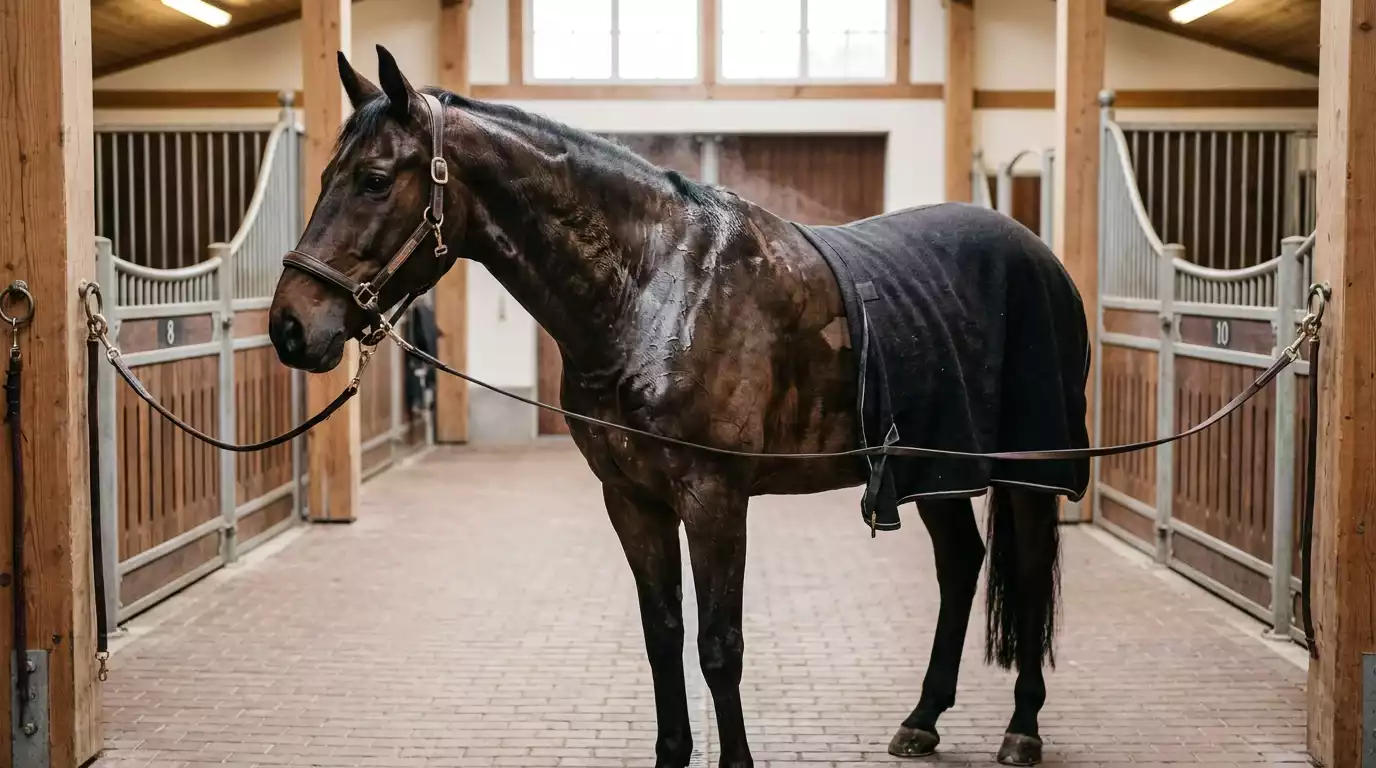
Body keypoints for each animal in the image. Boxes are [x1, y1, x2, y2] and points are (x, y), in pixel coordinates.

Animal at [269, 45, 1091, 768]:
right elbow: (663, 635)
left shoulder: (714, 496)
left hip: (1030, 469)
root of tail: (1041, 255)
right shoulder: (632, 498)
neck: (658, 290)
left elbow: (719, 647)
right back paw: (922, 720)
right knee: (960, 566)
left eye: (375, 179)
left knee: (1026, 572)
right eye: (326, 174)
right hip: (932, 470)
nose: (290, 326)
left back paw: (1022, 730)